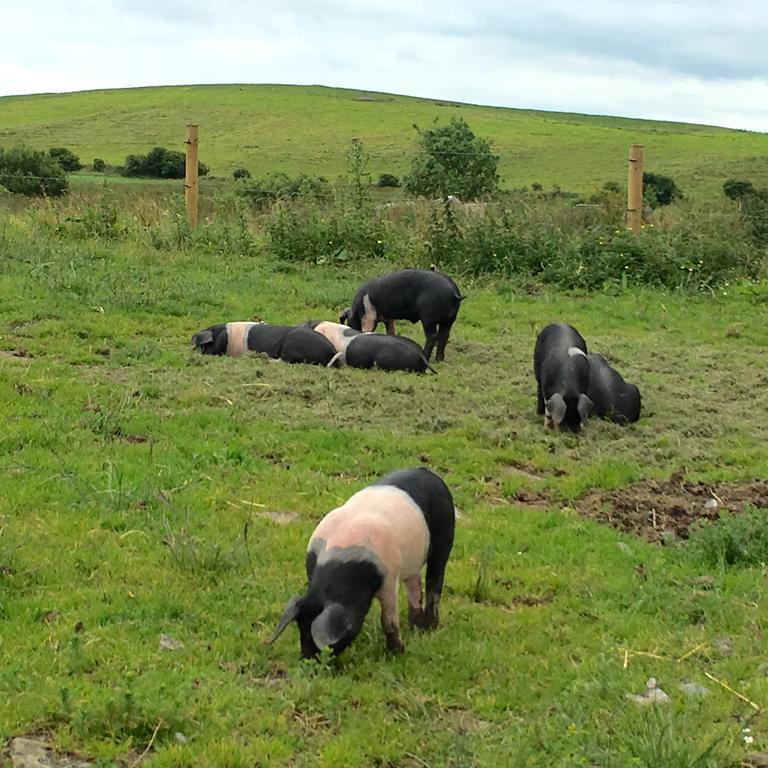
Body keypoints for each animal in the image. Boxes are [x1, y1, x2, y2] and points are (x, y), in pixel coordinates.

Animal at [266, 464, 452, 656]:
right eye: (300, 627)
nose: (307, 659)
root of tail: (426, 471)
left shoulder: (389, 577)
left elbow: (388, 619)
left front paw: (397, 653)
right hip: (412, 561)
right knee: (414, 585)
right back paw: (415, 628)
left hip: (445, 533)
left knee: (434, 582)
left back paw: (429, 628)